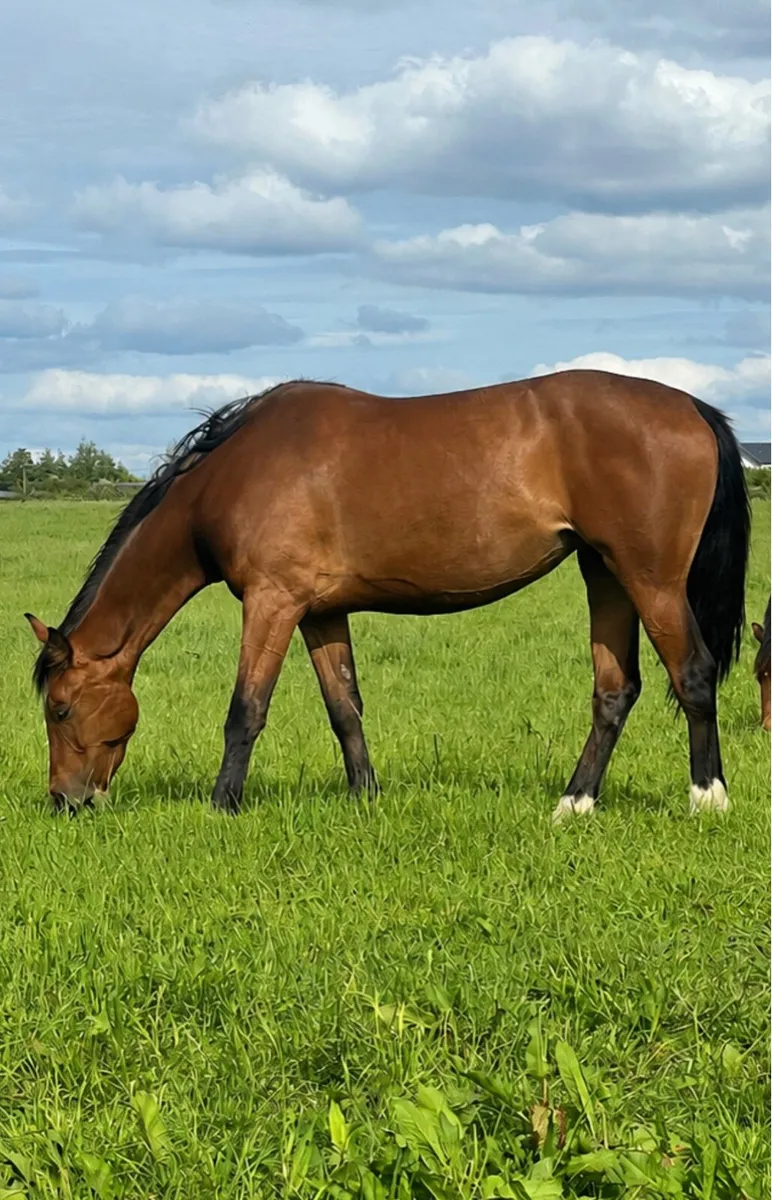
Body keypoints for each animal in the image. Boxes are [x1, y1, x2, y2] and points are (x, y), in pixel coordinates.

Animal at [25, 370, 749, 820]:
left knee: (693, 675)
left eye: (59, 709)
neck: (234, 470)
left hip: (650, 579)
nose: (67, 801)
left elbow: (246, 711)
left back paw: (707, 798)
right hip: (605, 574)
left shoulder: (272, 602)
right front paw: (365, 797)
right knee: (614, 690)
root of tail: (692, 407)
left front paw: (221, 805)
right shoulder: (319, 612)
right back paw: (574, 804)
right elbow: (344, 708)